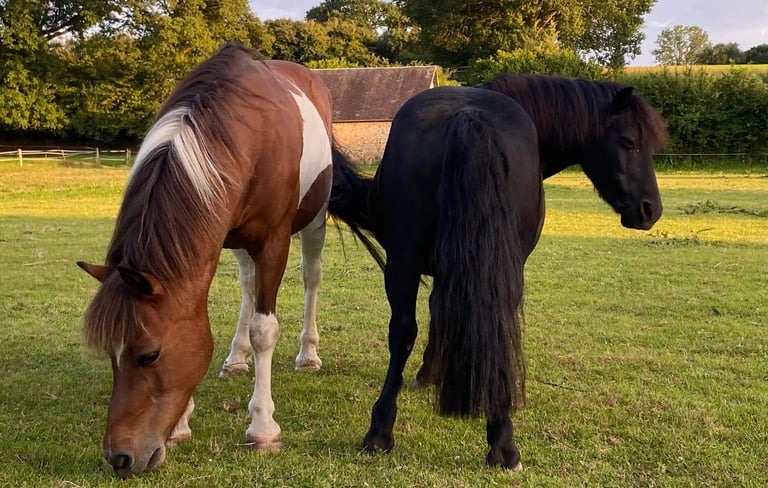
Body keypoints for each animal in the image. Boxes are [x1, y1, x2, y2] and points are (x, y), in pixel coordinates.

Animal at [77, 44, 364, 478]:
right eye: (111, 354)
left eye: (149, 355)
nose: (119, 458)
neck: (242, 133)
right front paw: (181, 423)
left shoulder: (273, 243)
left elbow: (265, 329)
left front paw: (263, 427)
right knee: (247, 286)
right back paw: (236, 359)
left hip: (312, 223)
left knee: (311, 278)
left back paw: (307, 355)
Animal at [328, 74, 669, 470]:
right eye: (629, 142)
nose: (650, 210)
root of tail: (470, 116)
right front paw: (431, 375)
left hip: (407, 261)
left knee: (407, 331)